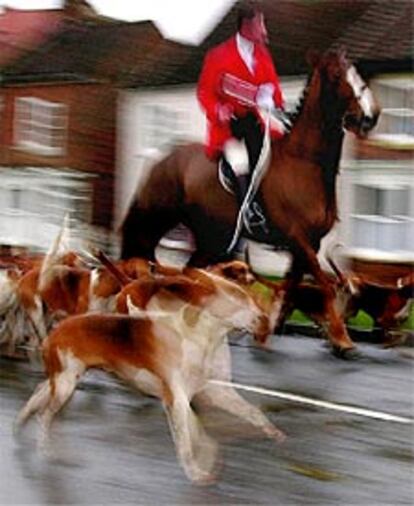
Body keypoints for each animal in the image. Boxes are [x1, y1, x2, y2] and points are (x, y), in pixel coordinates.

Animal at [119, 48, 378, 356]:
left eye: (357, 73)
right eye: (338, 75)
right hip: (160, 221)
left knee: (190, 271)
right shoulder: (299, 238)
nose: (369, 117)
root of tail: (163, 158)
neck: (305, 163)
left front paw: (268, 329)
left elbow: (290, 287)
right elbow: (323, 284)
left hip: (212, 237)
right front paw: (341, 338)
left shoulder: (307, 244)